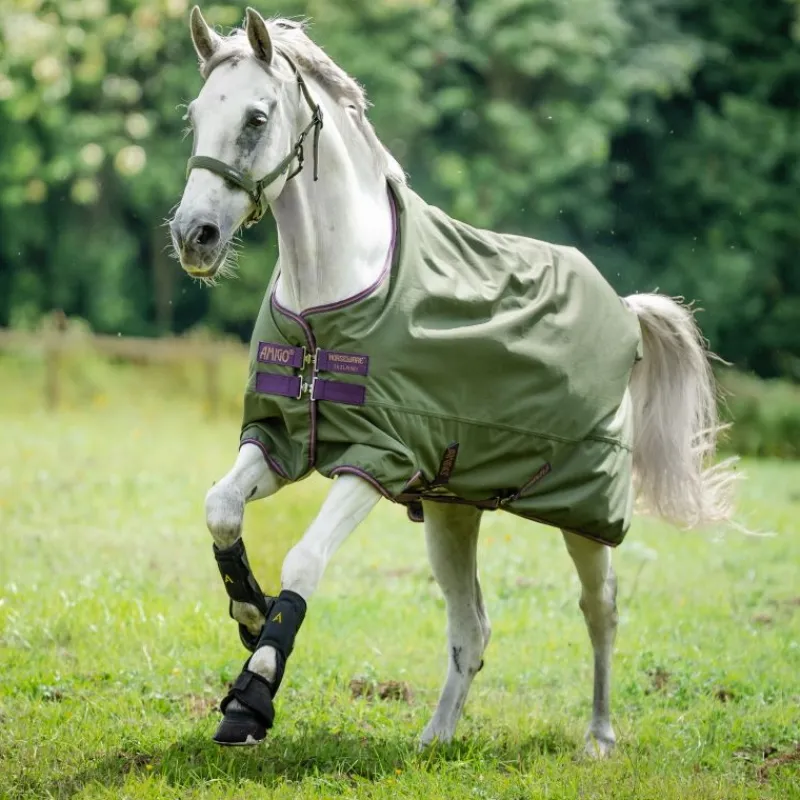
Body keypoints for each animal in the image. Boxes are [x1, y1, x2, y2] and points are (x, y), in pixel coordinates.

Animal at [169, 6, 737, 753]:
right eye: (195, 116)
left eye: (257, 118)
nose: (194, 236)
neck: (332, 299)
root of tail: (624, 309)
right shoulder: (281, 440)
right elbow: (221, 508)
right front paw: (249, 610)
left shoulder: (375, 458)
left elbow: (305, 561)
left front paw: (251, 698)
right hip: (451, 509)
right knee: (472, 627)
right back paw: (435, 737)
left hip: (586, 513)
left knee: (601, 609)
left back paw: (598, 738)